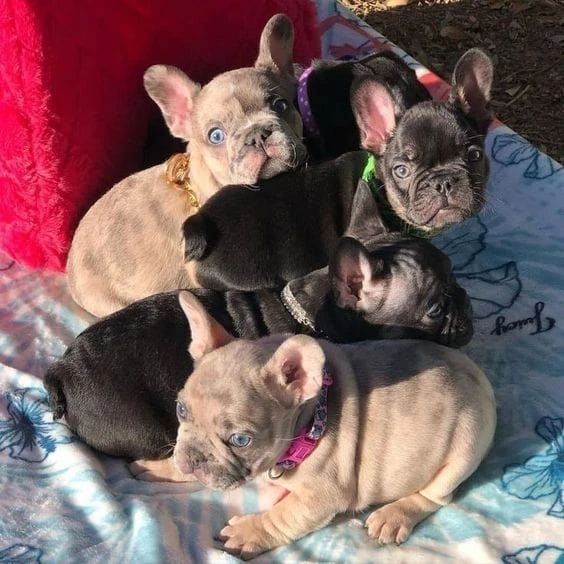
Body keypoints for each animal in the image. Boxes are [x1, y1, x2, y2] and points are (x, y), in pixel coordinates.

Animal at [171, 332, 496, 559]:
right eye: (180, 410)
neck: (309, 421)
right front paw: (168, 468)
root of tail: (479, 376)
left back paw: (393, 517)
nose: (191, 460)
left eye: (240, 440)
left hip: (465, 447)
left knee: (437, 495)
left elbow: (284, 515)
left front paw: (250, 531)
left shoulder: (323, 496)